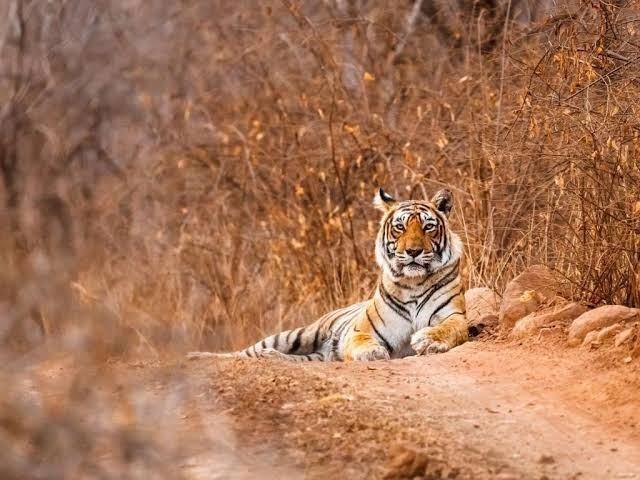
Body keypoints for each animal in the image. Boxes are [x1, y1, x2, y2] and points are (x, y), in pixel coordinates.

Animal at [187, 188, 468, 362]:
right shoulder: (362, 329)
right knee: (242, 353)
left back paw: (271, 359)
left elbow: (452, 329)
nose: (413, 251)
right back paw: (198, 356)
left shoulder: (453, 315)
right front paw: (372, 353)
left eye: (428, 227)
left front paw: (428, 341)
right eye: (400, 227)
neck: (414, 282)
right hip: (295, 334)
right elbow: (362, 340)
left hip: (314, 355)